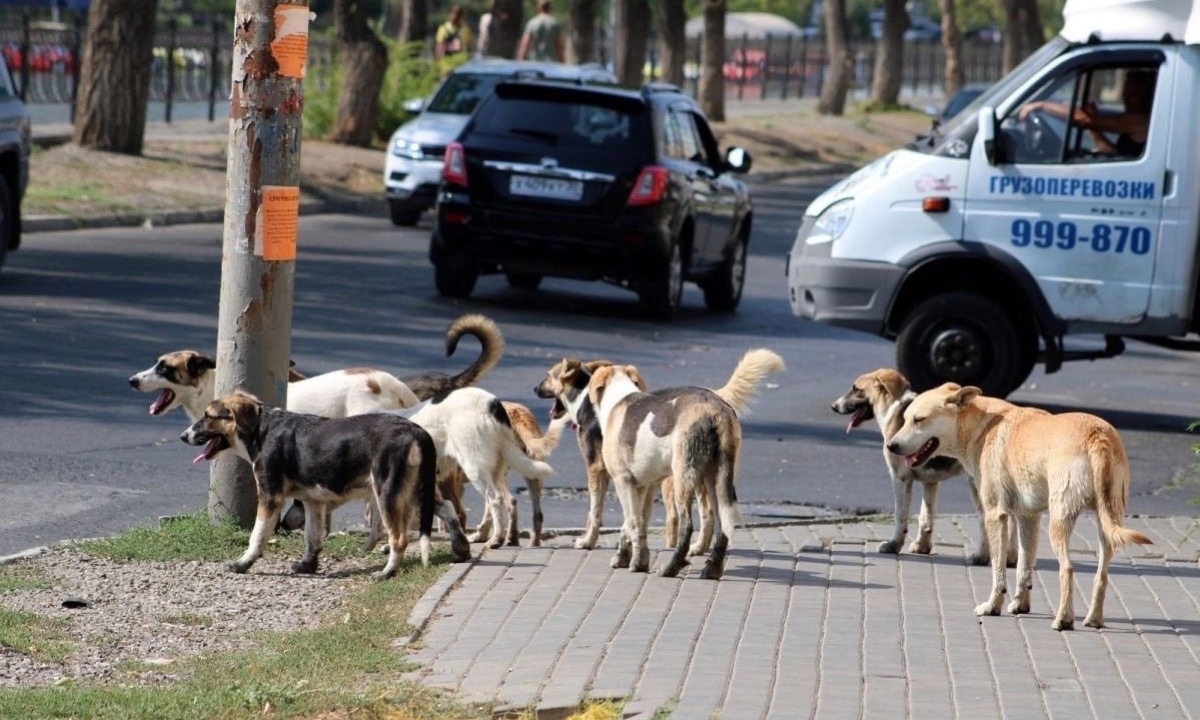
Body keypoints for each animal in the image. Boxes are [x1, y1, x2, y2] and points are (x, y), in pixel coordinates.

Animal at [177, 391, 468, 583]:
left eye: (208, 416)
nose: (183, 436)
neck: (262, 429)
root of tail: (416, 430)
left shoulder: (270, 497)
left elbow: (257, 536)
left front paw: (242, 564)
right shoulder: (312, 502)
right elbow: (313, 536)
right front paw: (308, 565)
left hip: (389, 493)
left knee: (399, 538)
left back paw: (387, 572)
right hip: (415, 490)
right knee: (447, 508)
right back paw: (460, 547)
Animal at [588, 348, 787, 578]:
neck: (619, 398)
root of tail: (717, 410)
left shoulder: (623, 481)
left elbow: (633, 523)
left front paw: (637, 564)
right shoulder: (641, 486)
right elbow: (630, 525)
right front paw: (627, 558)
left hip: (683, 478)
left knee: (687, 525)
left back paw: (671, 567)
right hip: (716, 481)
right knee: (722, 524)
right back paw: (712, 568)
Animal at [825, 372, 1003, 561]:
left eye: (855, 389)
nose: (833, 406)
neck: (893, 407)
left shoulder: (900, 478)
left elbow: (900, 515)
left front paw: (893, 545)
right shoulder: (930, 482)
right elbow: (926, 516)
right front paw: (922, 547)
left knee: (986, 518)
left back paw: (981, 557)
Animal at [892, 381, 1152, 628]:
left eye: (919, 420)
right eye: (905, 419)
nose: (891, 446)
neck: (984, 426)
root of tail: (1097, 436)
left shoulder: (995, 515)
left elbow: (998, 568)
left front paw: (992, 606)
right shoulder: (1028, 517)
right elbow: (1024, 566)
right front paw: (1020, 604)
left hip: (1059, 521)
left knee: (1067, 569)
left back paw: (1063, 620)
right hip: (1107, 523)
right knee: (1102, 575)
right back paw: (1094, 619)